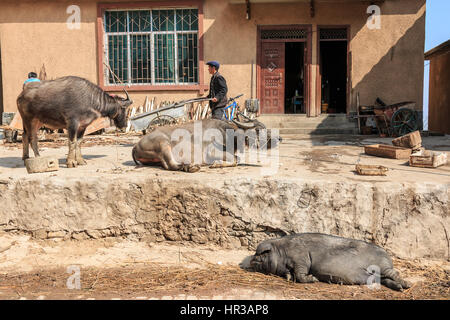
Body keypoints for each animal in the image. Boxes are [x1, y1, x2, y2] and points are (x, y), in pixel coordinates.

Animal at [132, 118, 284, 172]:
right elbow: (236, 159)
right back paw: (189, 167)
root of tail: (135, 146)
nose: (279, 138)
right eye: (258, 129)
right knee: (169, 165)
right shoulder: (212, 152)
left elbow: (237, 159)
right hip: (163, 143)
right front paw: (217, 164)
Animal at [251, 232, 410, 290]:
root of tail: (387, 255)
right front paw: (289, 278)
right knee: (384, 279)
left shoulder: (301, 258)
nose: (251, 260)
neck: (282, 253)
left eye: (260, 254)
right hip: (377, 275)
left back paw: (407, 285)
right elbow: (291, 274)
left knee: (394, 274)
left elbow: (301, 274)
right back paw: (400, 288)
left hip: (382, 265)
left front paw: (314, 279)